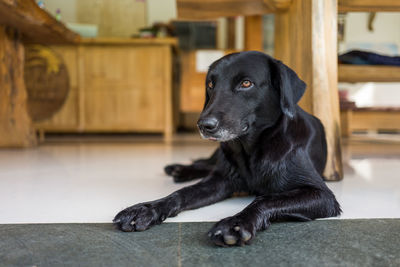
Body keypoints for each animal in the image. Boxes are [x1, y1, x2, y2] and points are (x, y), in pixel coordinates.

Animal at [114, 50, 342, 247]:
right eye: (210, 84)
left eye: (246, 83)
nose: (204, 125)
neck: (252, 149)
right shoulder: (220, 180)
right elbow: (181, 193)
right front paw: (146, 209)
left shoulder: (321, 194)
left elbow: (265, 199)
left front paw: (235, 224)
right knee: (206, 164)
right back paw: (179, 169)